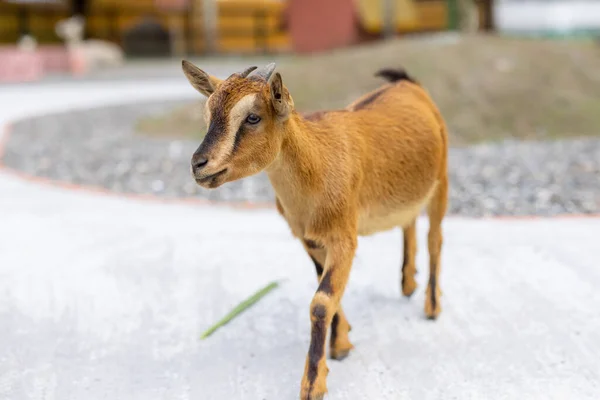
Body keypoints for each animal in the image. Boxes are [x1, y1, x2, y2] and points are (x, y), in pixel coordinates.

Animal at [180, 60, 448, 400]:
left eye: (253, 117)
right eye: (208, 115)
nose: (199, 164)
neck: (317, 165)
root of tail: (408, 84)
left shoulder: (344, 238)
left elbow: (321, 302)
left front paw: (312, 384)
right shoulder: (309, 239)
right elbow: (326, 290)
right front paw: (341, 342)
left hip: (441, 180)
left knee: (435, 238)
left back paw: (432, 305)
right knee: (409, 222)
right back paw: (408, 283)